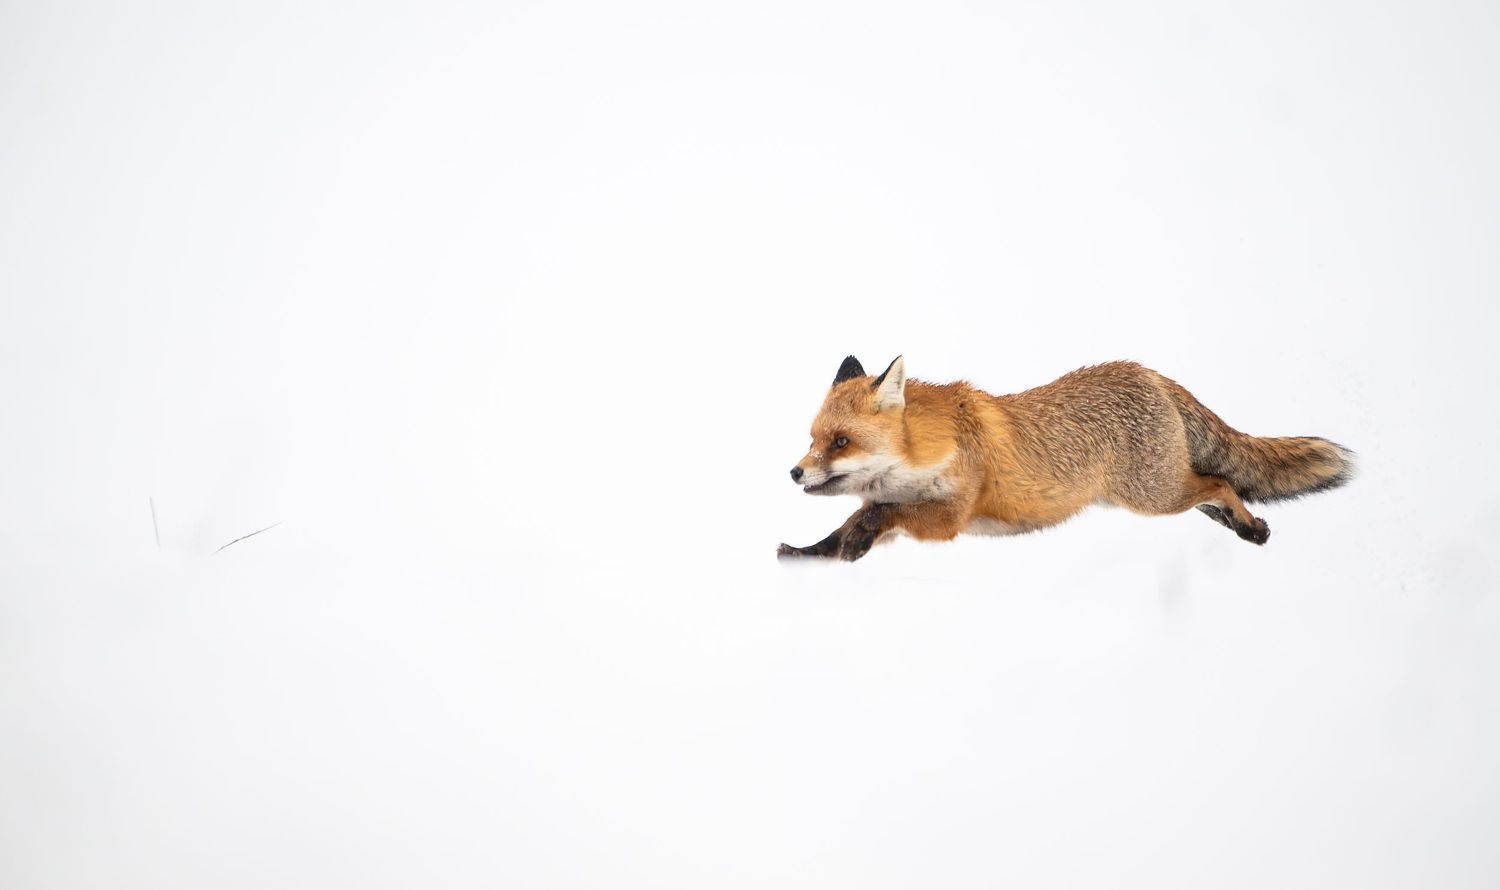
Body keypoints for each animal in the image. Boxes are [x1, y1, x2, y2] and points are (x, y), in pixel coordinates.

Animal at [777, 356, 1355, 562]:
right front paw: (811, 553)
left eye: (841, 442)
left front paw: (849, 546)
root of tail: (1150, 373)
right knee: (1212, 487)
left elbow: (878, 512)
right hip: (1162, 491)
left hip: (1152, 495)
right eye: (812, 439)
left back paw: (1252, 527)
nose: (794, 471)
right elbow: (852, 520)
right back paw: (1240, 525)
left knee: (1219, 483)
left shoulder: (951, 516)